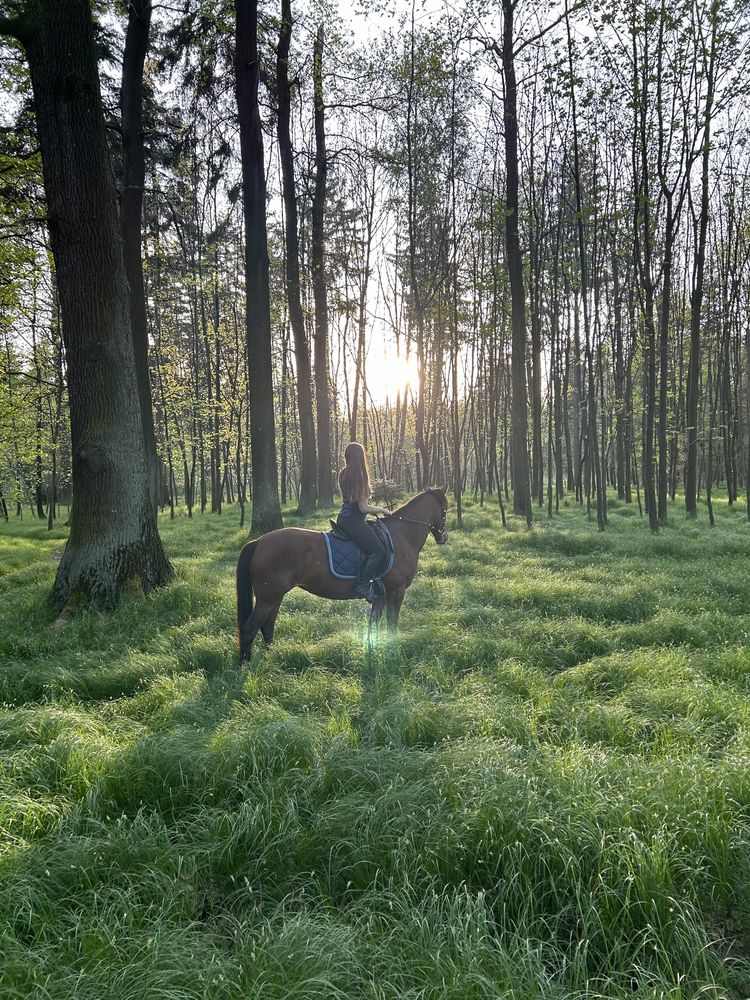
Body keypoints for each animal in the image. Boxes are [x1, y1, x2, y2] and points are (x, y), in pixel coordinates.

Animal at [236, 486, 446, 660]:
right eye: (445, 509)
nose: (443, 537)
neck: (401, 537)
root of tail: (259, 541)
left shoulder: (380, 594)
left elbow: (375, 622)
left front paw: (373, 649)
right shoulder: (396, 590)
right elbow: (391, 622)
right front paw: (392, 652)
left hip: (275, 596)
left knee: (267, 625)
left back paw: (272, 655)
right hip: (267, 598)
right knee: (250, 628)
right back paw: (246, 665)